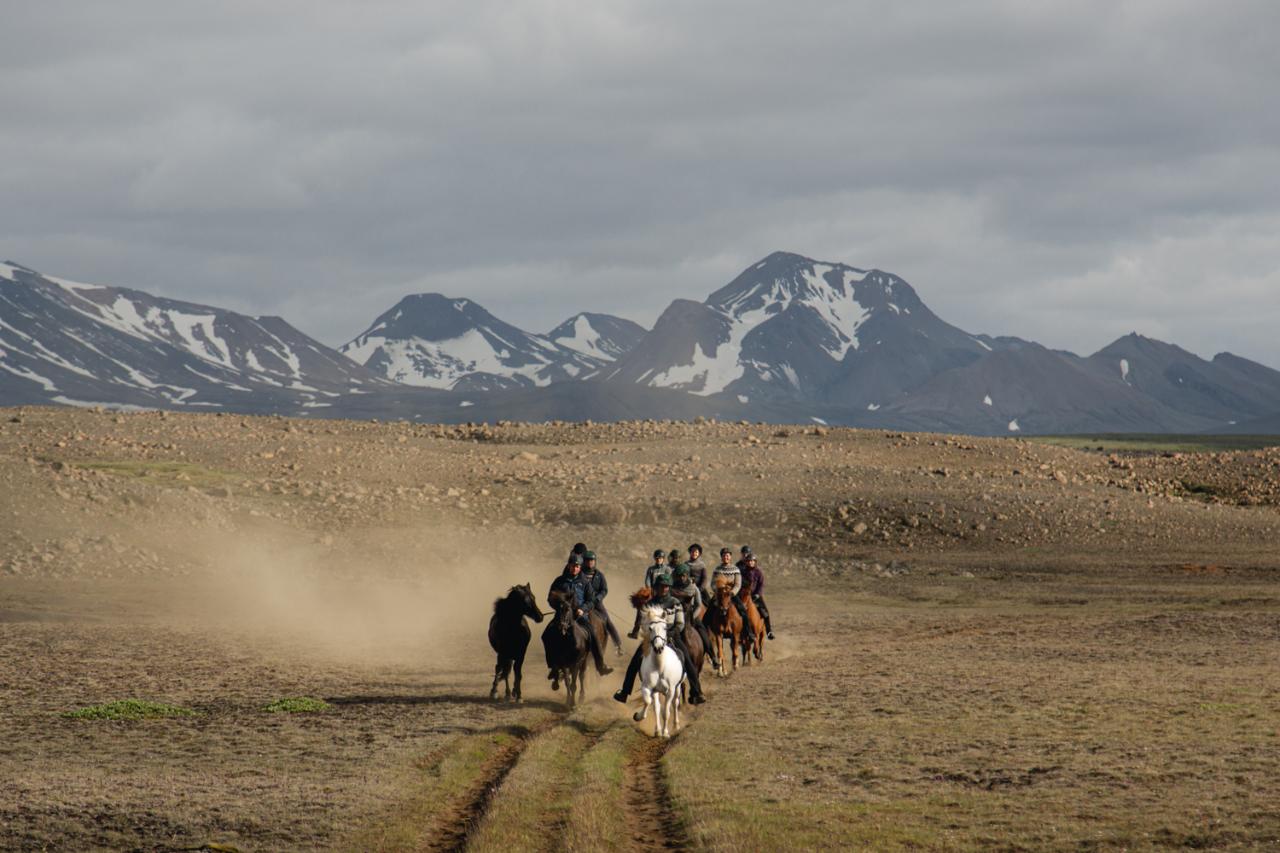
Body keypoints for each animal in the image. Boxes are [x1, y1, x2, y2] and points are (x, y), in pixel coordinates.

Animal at [632, 604, 686, 737]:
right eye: (650, 628)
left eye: (665, 628)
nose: (658, 648)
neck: (660, 666)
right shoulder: (648, 688)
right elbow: (649, 702)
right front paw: (639, 716)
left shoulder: (670, 690)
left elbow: (666, 712)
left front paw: (666, 733)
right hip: (657, 691)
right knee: (656, 706)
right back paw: (658, 730)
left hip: (677, 688)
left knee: (675, 703)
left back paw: (676, 726)